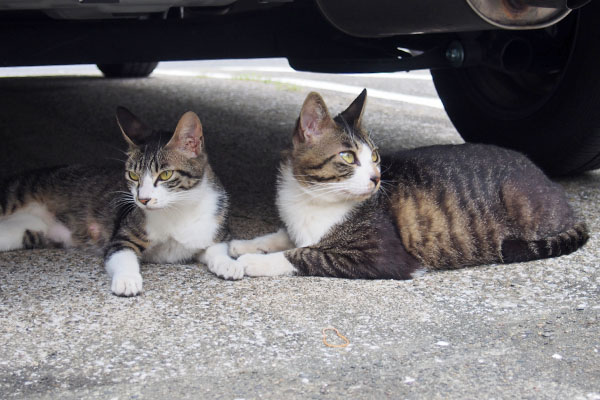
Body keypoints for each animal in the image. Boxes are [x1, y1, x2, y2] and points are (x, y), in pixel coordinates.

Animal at [0, 108, 237, 296]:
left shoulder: (213, 230)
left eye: (166, 174)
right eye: (133, 176)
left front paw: (228, 264)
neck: (177, 210)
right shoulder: (123, 236)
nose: (143, 199)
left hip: (25, 229)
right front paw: (127, 280)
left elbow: (218, 248)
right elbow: (122, 256)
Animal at [213, 89, 588, 280]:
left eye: (375, 156)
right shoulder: (299, 225)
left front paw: (252, 263)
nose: (376, 178)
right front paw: (243, 246)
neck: (313, 197)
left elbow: (305, 254)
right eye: (348, 157)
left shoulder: (382, 256)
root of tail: (555, 188)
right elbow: (284, 236)